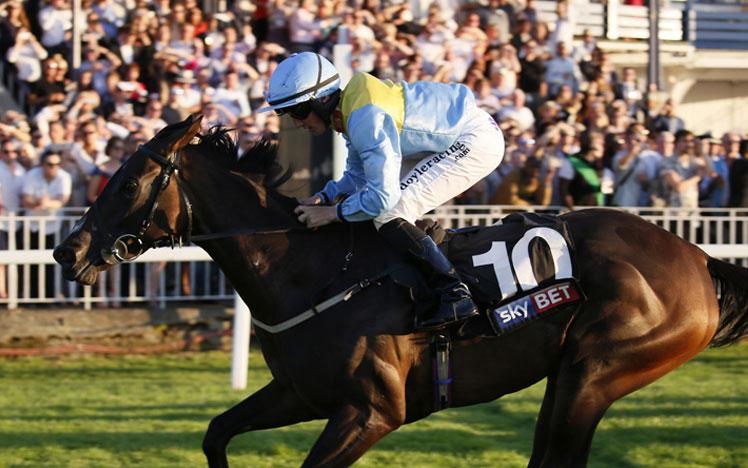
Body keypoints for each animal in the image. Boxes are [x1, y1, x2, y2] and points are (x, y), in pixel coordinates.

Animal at [54, 114, 748, 468]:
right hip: (572, 378)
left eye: (127, 184)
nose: (69, 251)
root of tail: (697, 256)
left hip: (599, 370)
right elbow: (216, 433)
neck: (313, 270)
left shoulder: (372, 410)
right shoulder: (300, 393)